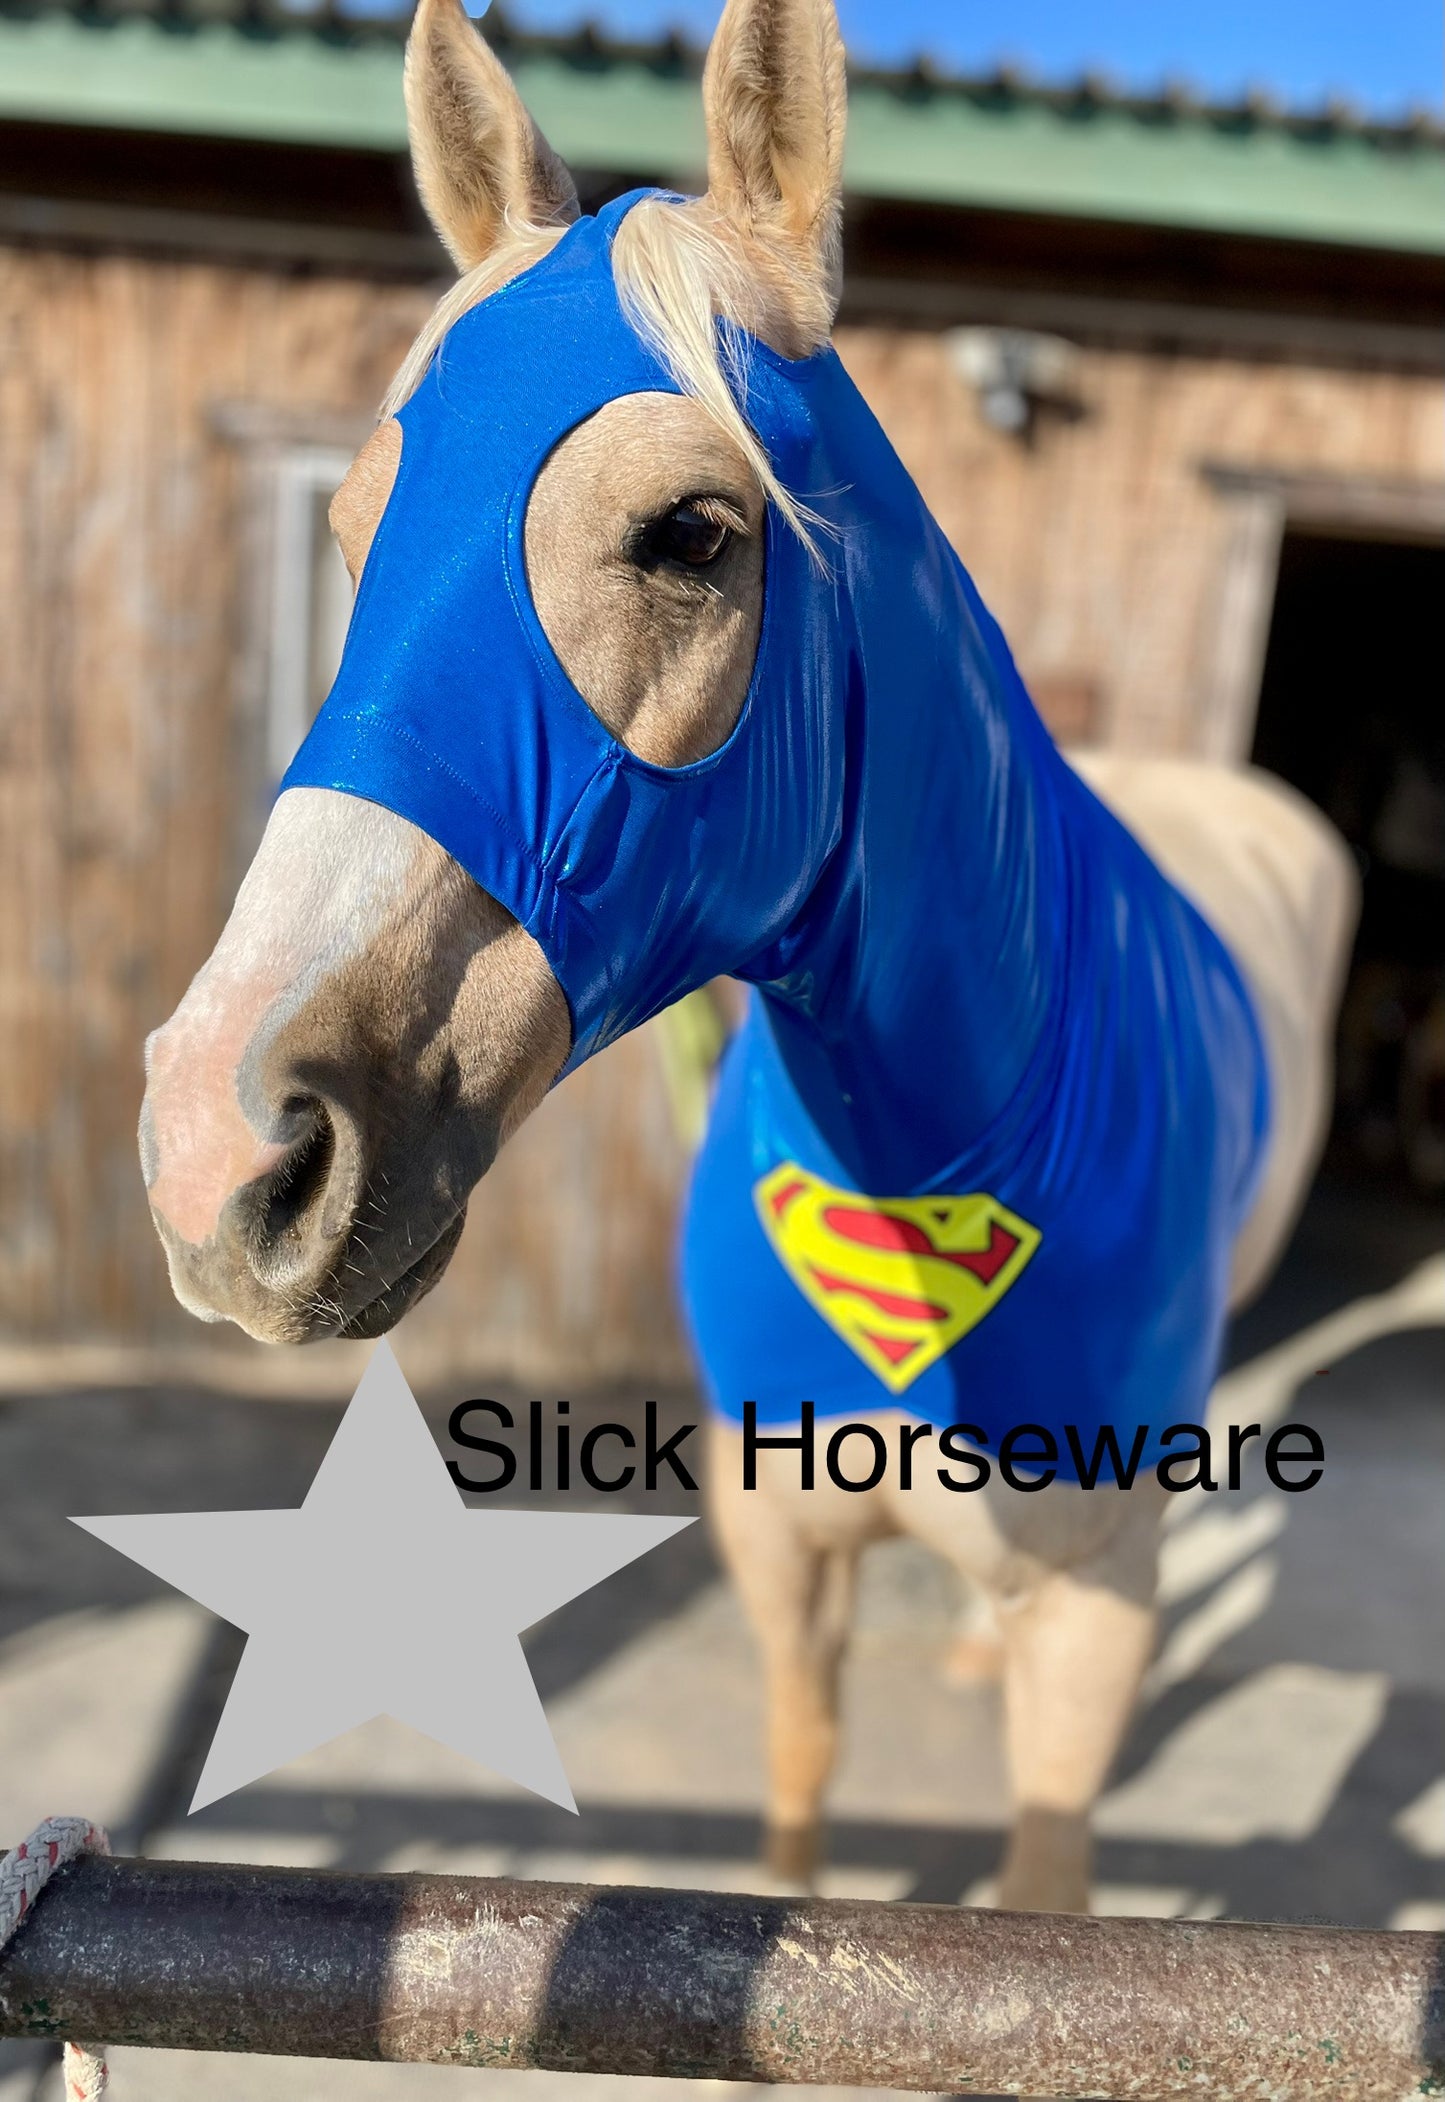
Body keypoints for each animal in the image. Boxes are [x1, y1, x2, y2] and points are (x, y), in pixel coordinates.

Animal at [138, 0, 1358, 1917]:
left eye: (693, 533)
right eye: (353, 536)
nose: (214, 1147)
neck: (941, 1163)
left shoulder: (1095, 1611)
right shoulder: (778, 1541)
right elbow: (794, 1807)